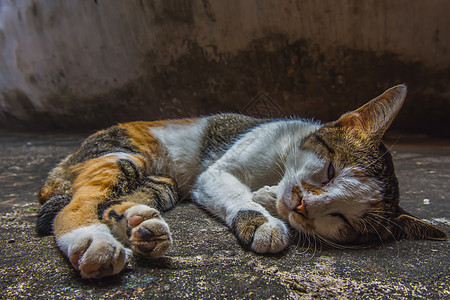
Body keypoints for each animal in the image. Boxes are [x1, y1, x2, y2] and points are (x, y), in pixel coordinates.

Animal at [37, 84, 446, 278]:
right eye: (331, 170)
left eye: (343, 220)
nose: (303, 205)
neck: (277, 169)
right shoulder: (216, 173)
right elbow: (238, 193)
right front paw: (263, 220)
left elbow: (268, 194)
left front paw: (269, 199)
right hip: (124, 155)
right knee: (72, 207)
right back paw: (92, 243)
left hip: (162, 184)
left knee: (115, 203)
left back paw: (141, 226)